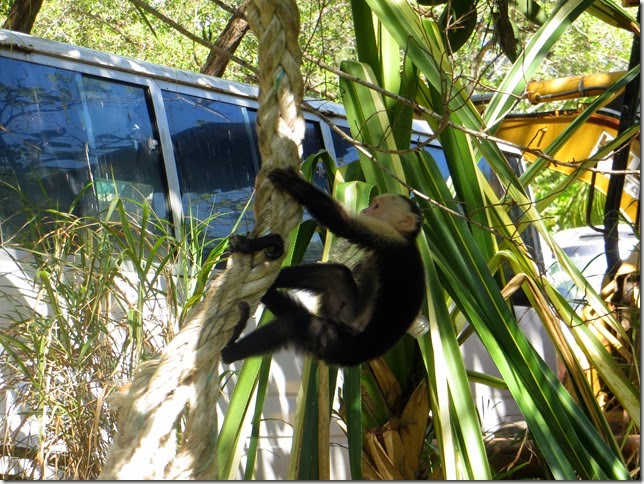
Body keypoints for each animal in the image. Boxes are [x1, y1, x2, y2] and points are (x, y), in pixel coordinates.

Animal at [221, 167, 425, 367]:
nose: (365, 210)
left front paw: (295, 184)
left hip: (337, 342)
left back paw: (229, 351)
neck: (407, 238)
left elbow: (344, 225)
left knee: (295, 323)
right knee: (335, 274)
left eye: (376, 207)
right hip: (341, 317)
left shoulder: (390, 237)